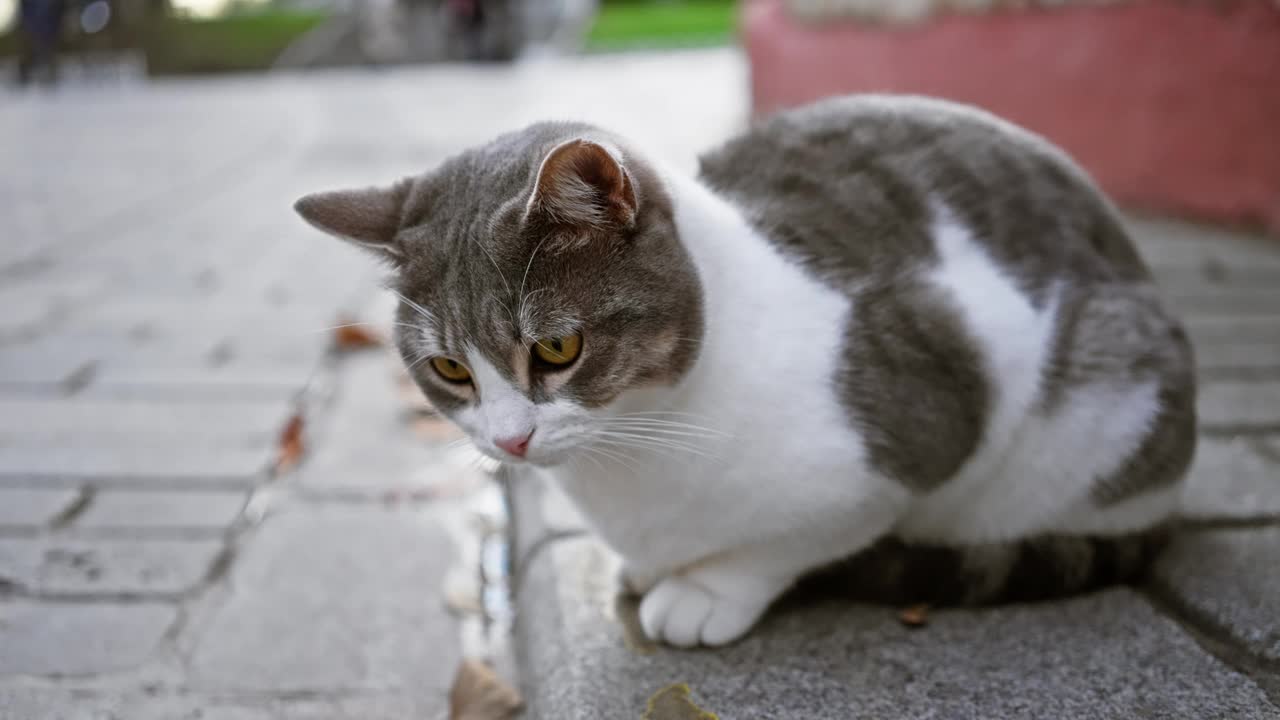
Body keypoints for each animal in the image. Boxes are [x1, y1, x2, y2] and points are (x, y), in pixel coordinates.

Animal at [294, 92, 1192, 648]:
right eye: (450, 368)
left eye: (555, 350)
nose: (511, 444)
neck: (634, 452)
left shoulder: (925, 417)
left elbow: (788, 540)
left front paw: (704, 590)